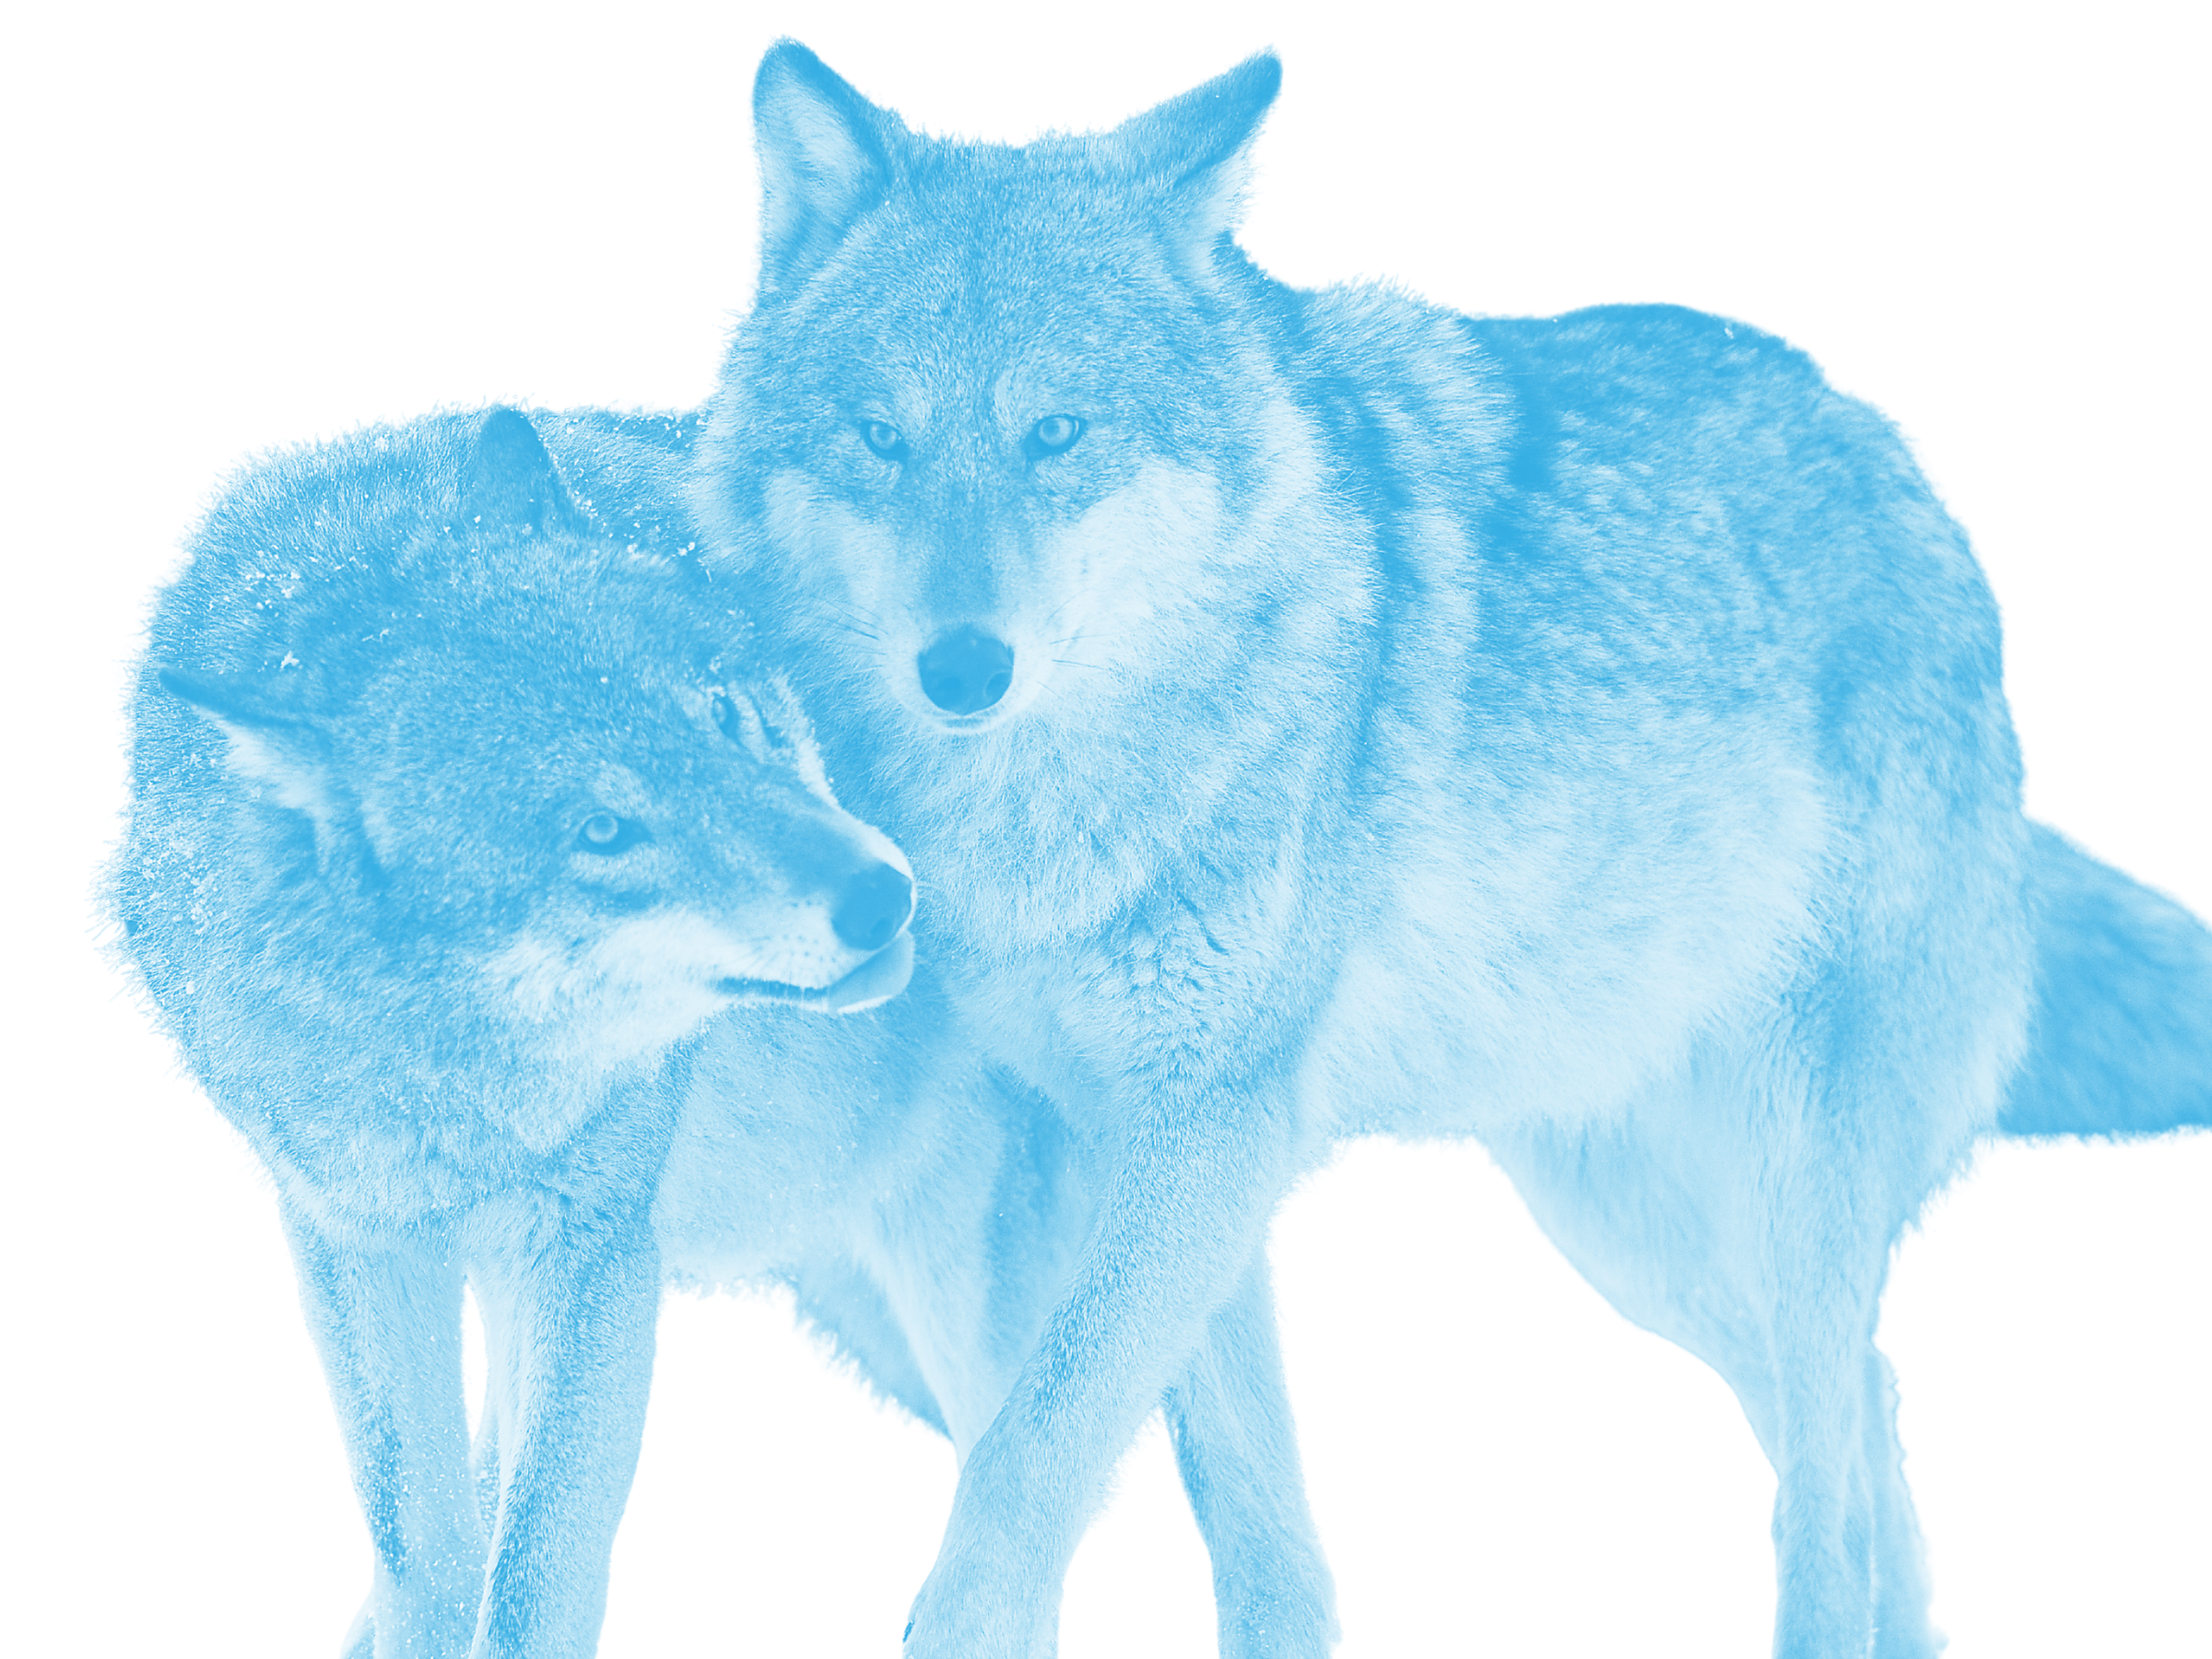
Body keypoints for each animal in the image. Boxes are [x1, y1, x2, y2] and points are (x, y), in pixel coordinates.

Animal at [88, 401, 926, 1659]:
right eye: (602, 831)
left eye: (725, 716)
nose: (884, 896)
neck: (435, 1072)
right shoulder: (354, 1238)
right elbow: (422, 1542)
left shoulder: (597, 1245)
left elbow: (531, 1577)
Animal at [691, 38, 2212, 1659]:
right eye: (878, 439)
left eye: (1058, 436)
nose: (963, 668)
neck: (1058, 804)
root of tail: (1903, 451)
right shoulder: (1166, 1150)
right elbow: (1256, 1517)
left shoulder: (1208, 1130)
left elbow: (1032, 1457)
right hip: (1637, 1226)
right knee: (1870, 1442)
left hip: (1791, 1178)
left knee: (1830, 1480)